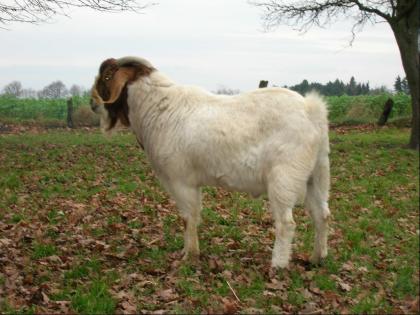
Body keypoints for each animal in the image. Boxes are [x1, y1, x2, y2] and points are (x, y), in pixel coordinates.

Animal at [90, 56, 330, 270]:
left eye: (107, 75)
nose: (92, 104)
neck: (159, 108)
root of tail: (312, 110)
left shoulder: (181, 181)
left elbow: (188, 218)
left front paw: (189, 255)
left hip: (284, 178)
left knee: (286, 223)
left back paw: (278, 264)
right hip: (315, 175)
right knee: (321, 214)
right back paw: (317, 258)